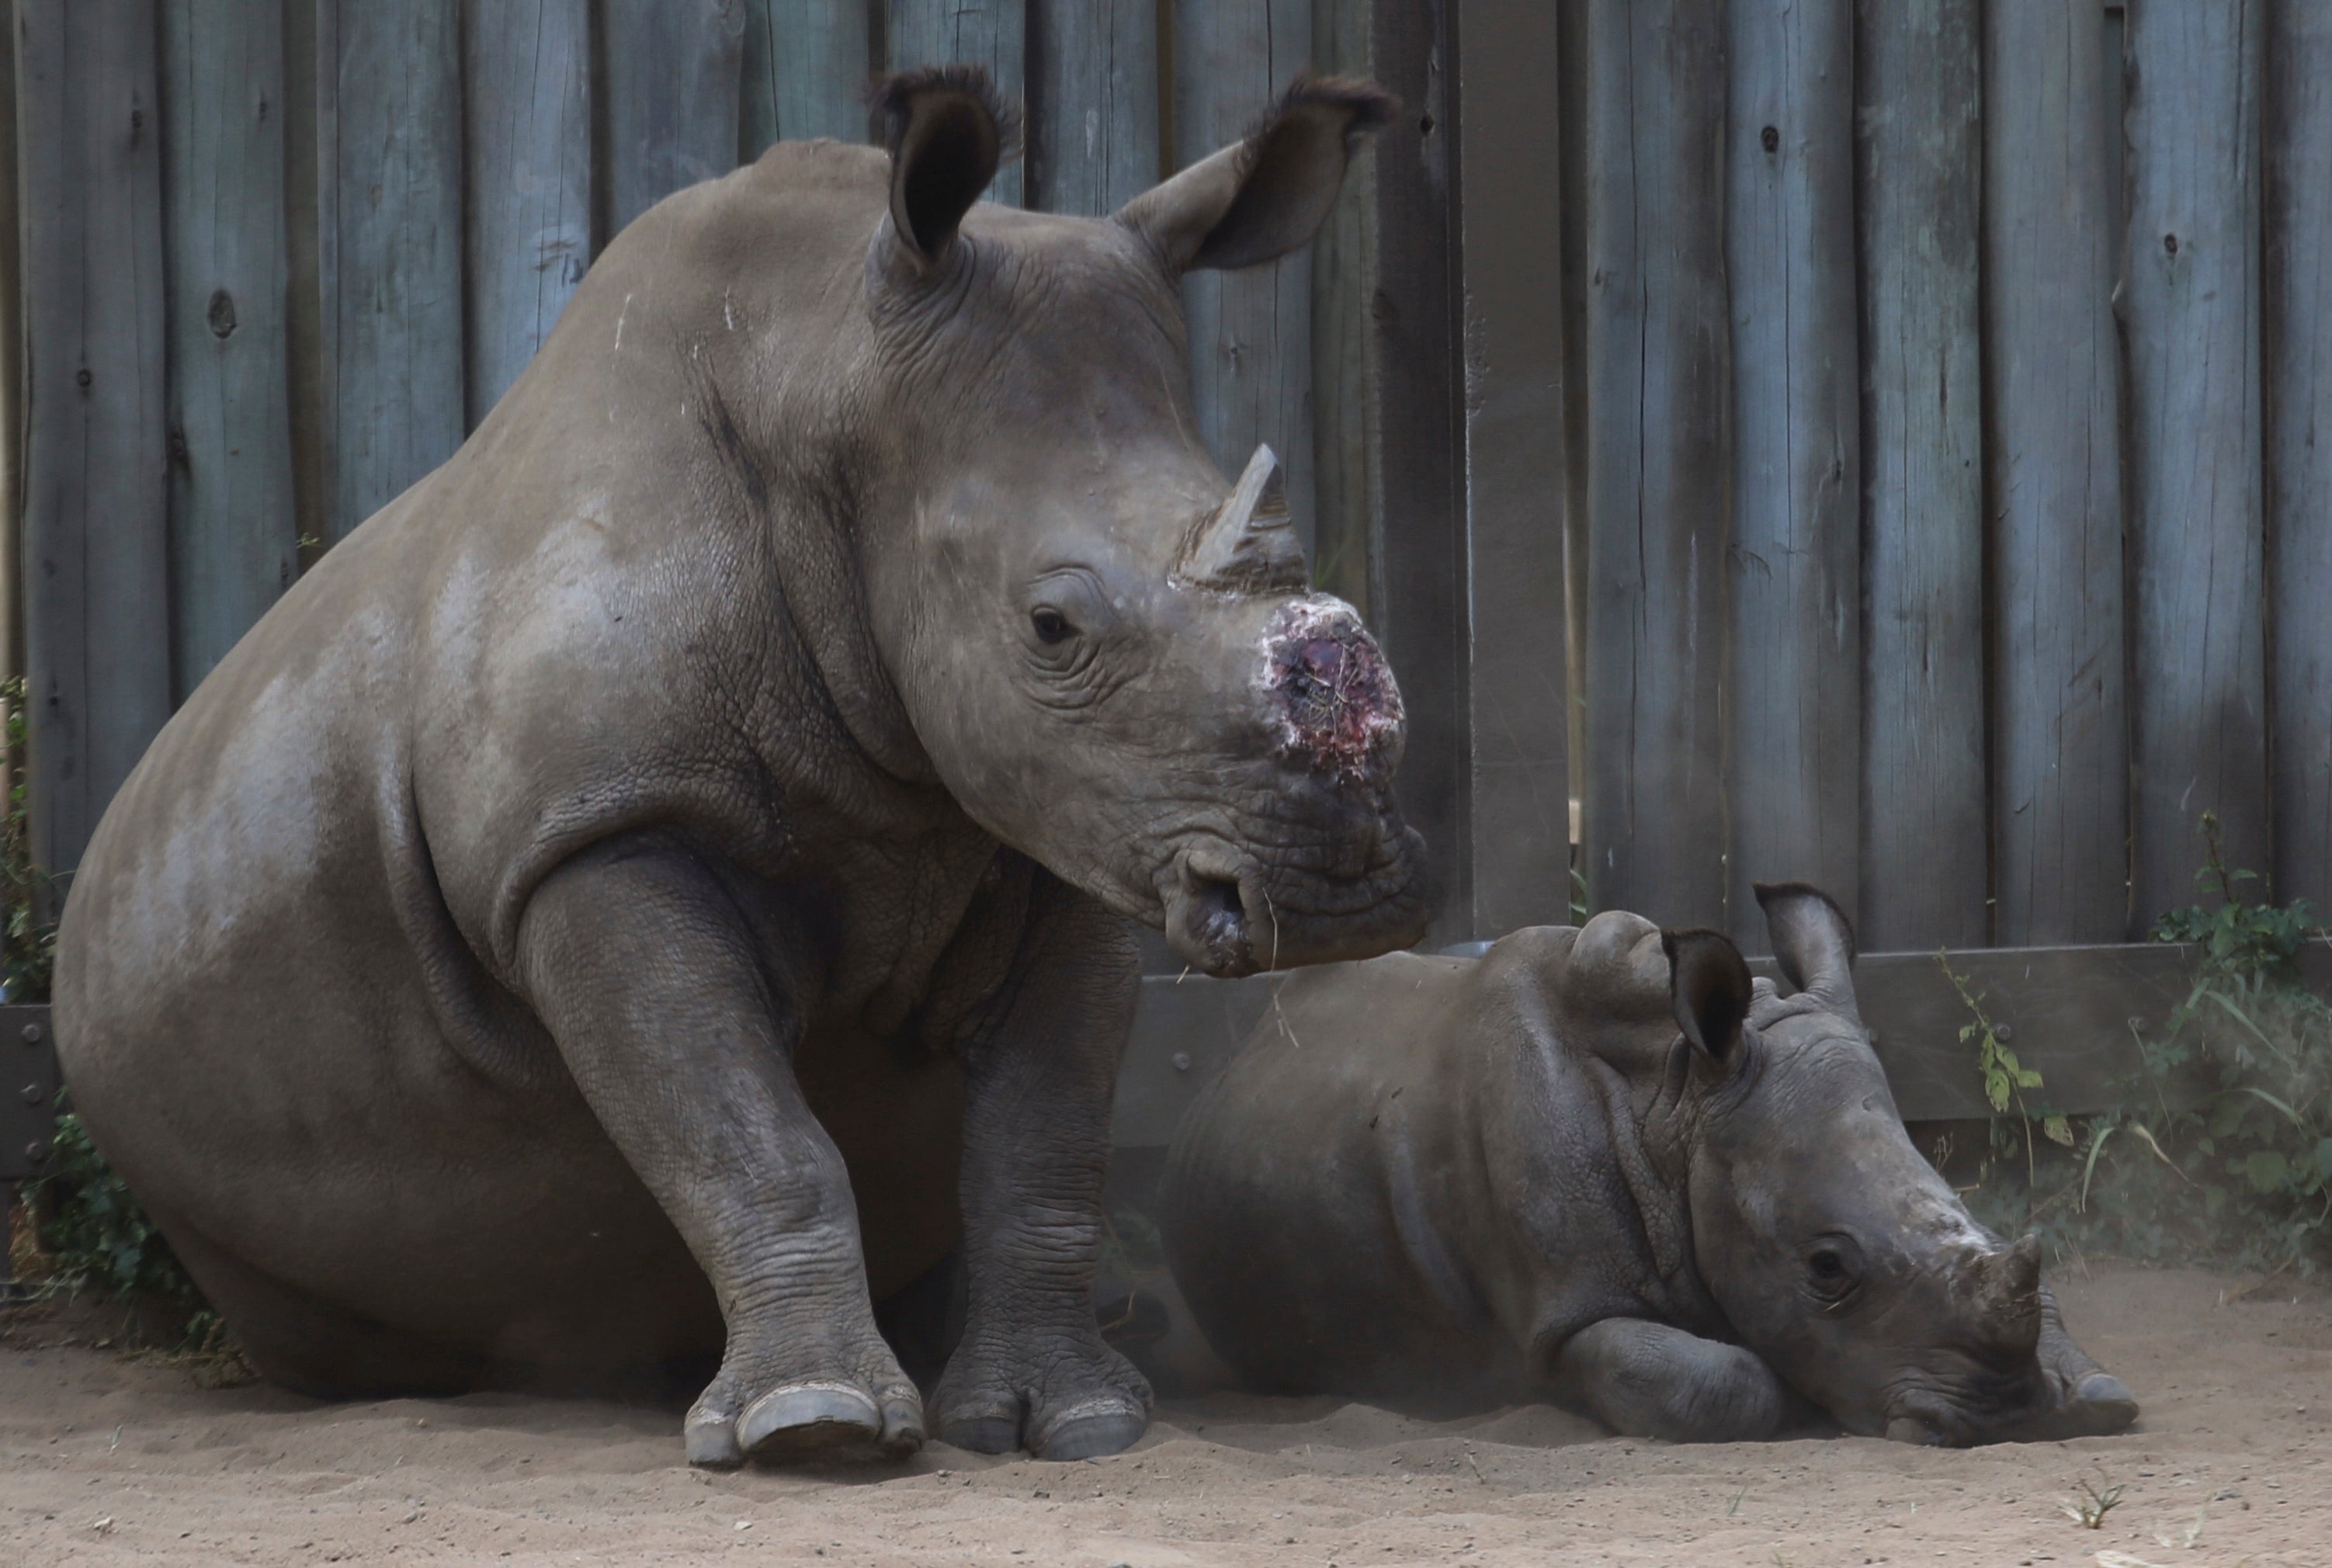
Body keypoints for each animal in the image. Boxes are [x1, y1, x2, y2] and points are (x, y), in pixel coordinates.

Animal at [52, 68, 1426, 1467]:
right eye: (1051, 628)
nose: (1346, 896)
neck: (824, 380)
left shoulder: (1081, 821)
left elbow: (1044, 1141)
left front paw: (1076, 1422)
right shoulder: (596, 831)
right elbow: (742, 1128)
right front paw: (809, 1431)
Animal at [1159, 884, 2139, 1445]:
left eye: (1971, 1207)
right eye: (1826, 1267)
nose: (2009, 1419)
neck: (1676, 1104)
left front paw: (2093, 1391)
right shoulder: (1564, 1318)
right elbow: (1720, 1379)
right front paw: (1794, 1404)